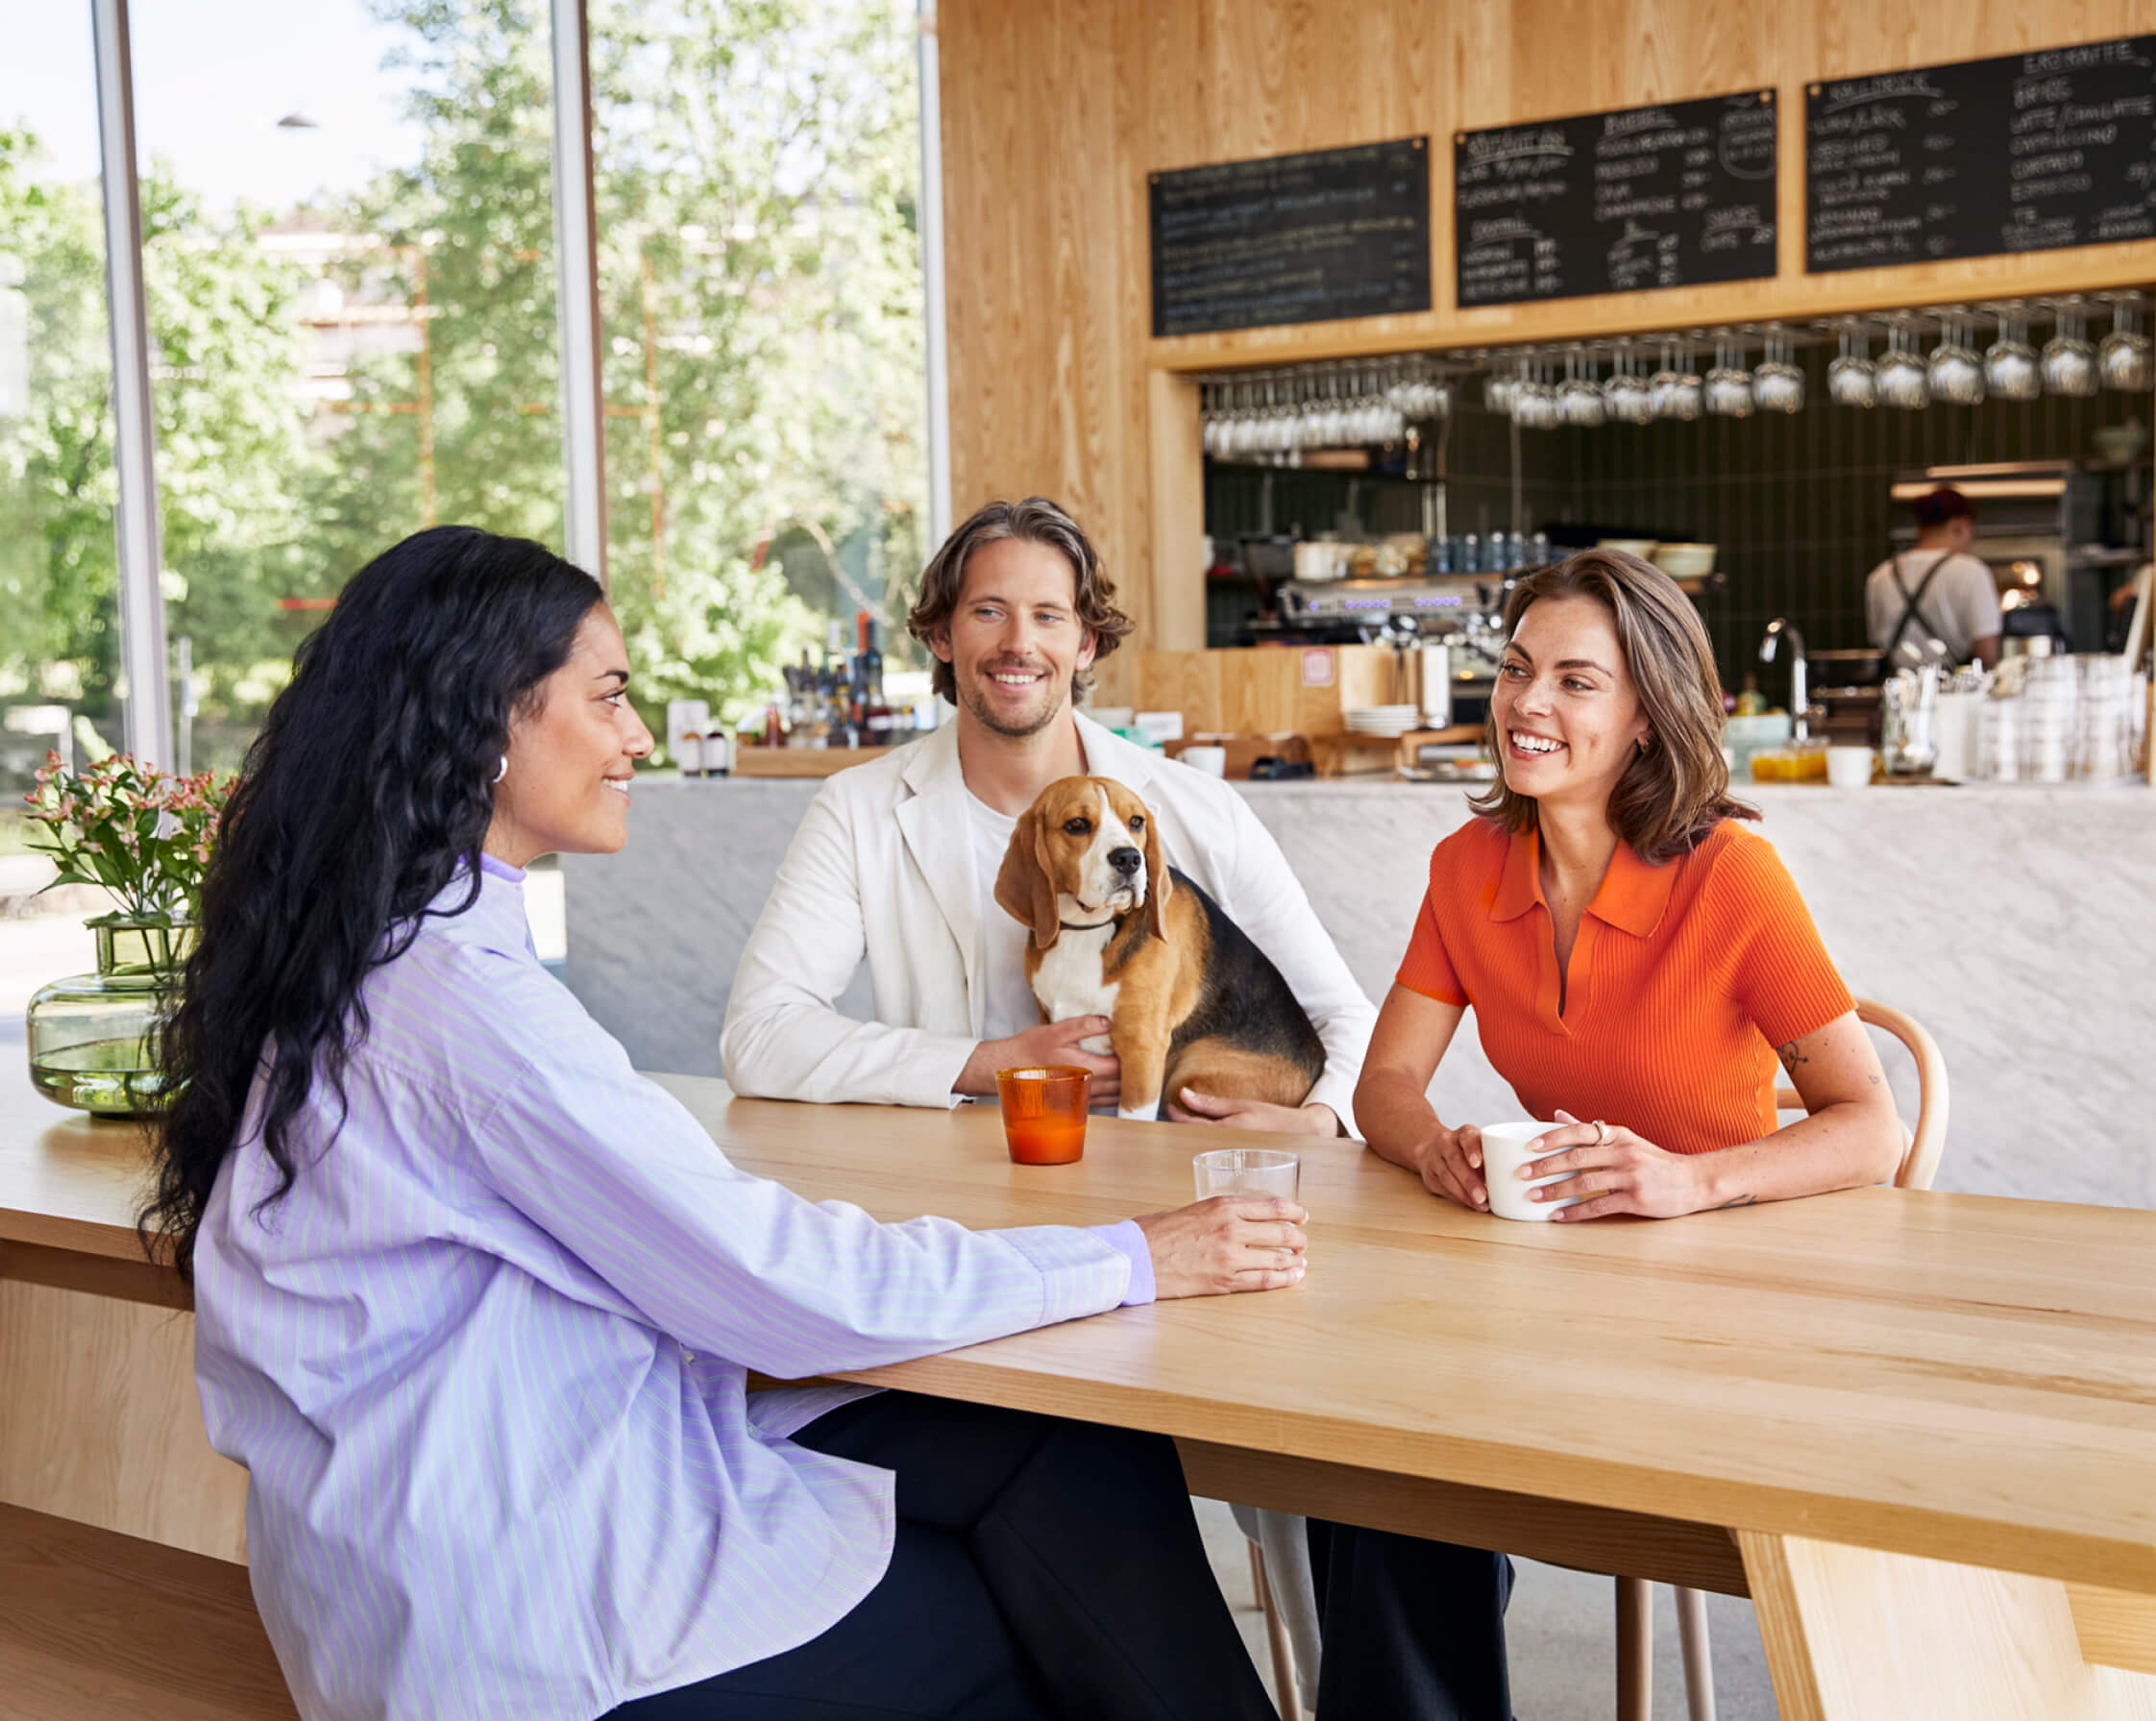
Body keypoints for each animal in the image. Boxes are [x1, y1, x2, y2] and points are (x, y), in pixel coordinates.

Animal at [987, 775, 1319, 1121]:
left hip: (1190, 1076)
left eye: (1136, 822)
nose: (1129, 858)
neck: (1089, 929)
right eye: (1076, 824)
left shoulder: (1142, 1047)